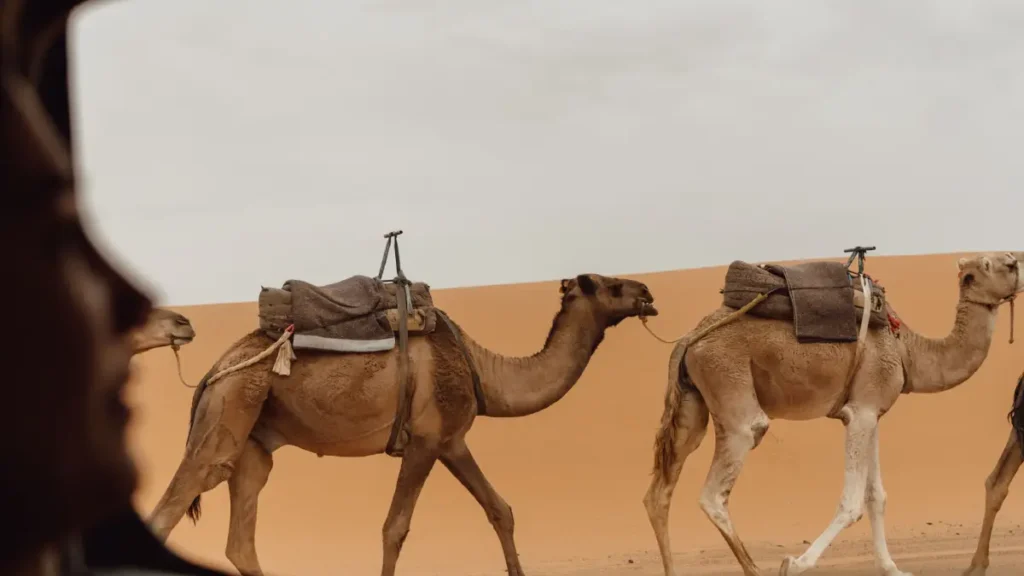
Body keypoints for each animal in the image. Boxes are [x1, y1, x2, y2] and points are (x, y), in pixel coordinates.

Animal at [145, 273, 657, 576]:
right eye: (610, 285)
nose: (648, 294)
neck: (481, 369)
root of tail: (214, 369)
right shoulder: (424, 441)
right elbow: (395, 527)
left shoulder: (452, 441)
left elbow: (500, 509)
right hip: (229, 407)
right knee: (176, 503)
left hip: (254, 438)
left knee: (241, 539)